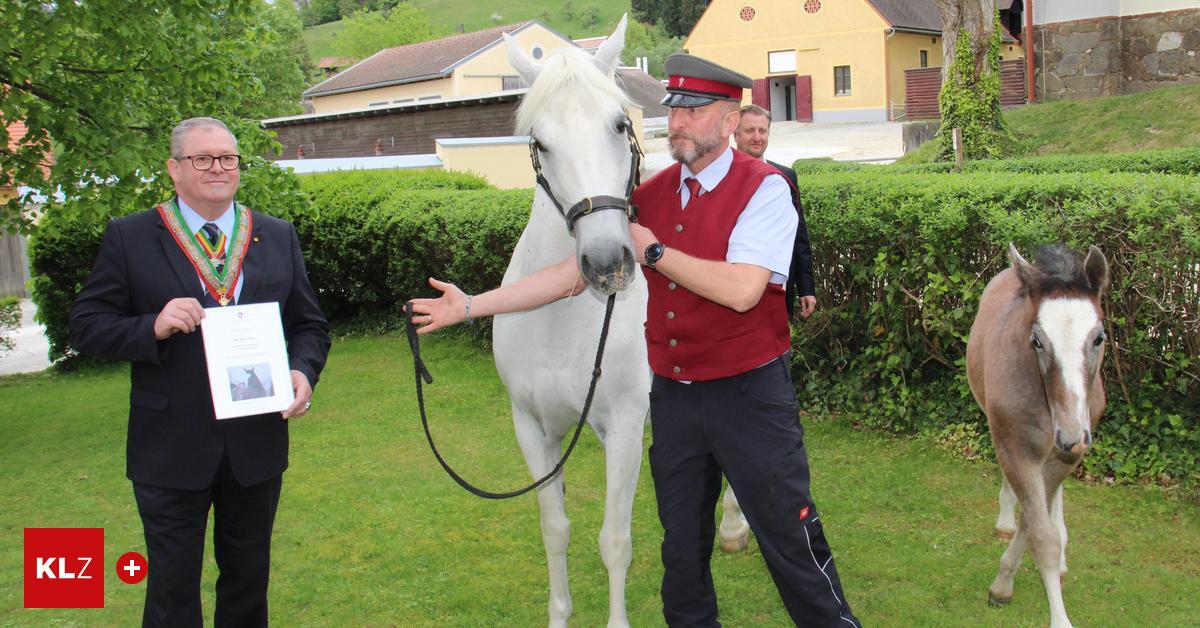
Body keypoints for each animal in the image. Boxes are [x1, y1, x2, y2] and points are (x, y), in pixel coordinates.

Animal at [494, 17, 652, 624]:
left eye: (619, 123)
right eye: (540, 142)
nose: (607, 263)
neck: (562, 323)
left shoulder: (625, 427)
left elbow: (615, 540)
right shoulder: (533, 430)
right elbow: (555, 528)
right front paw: (559, 613)